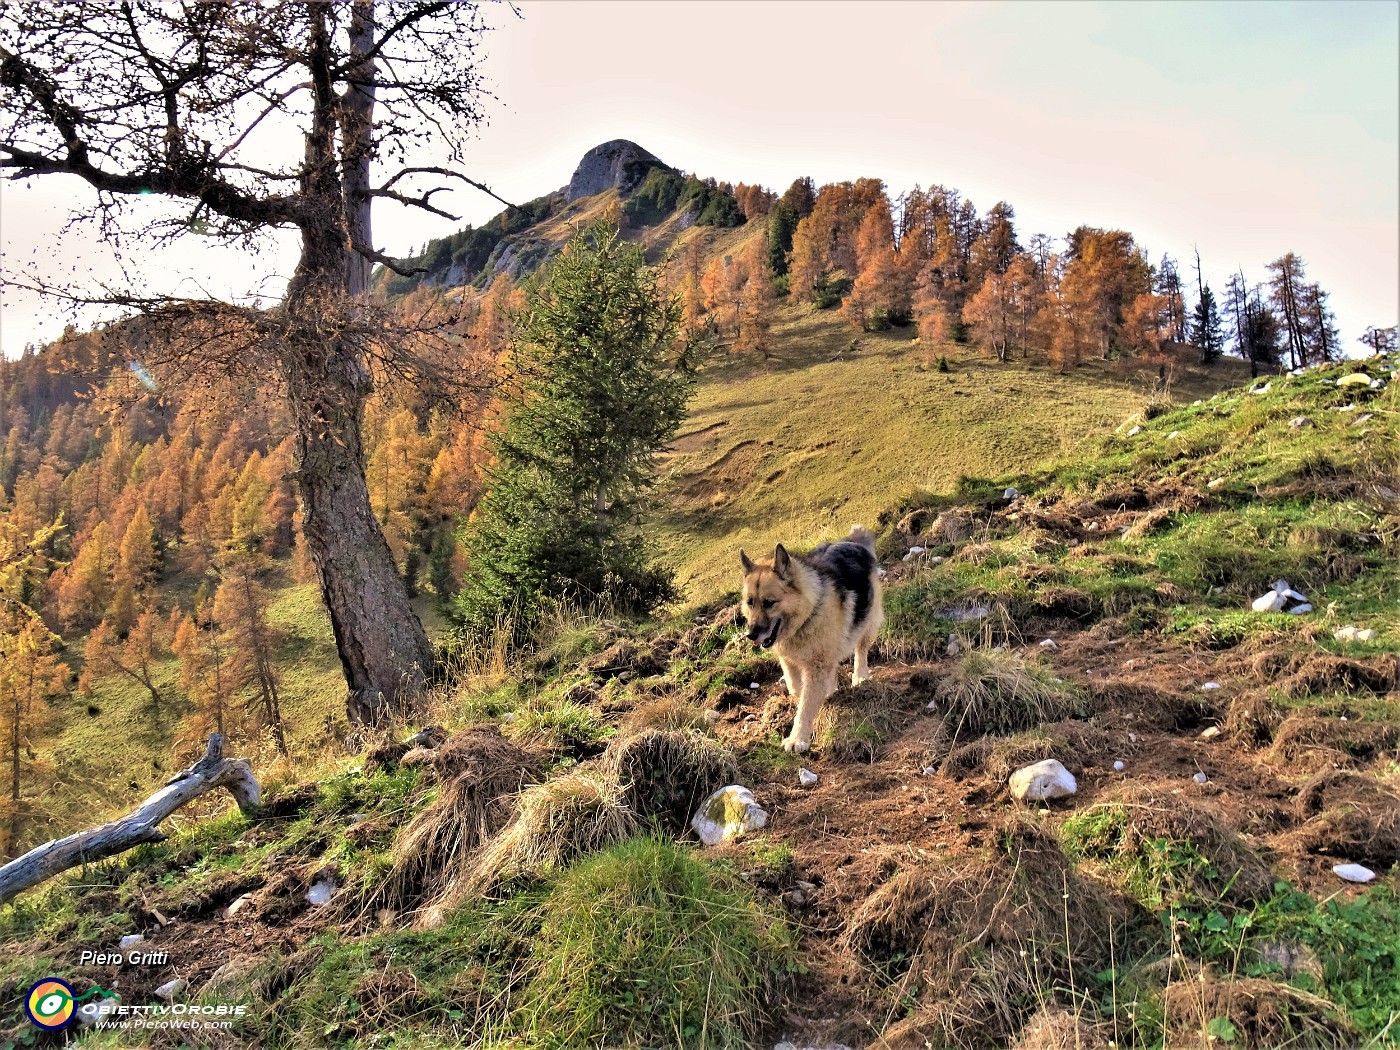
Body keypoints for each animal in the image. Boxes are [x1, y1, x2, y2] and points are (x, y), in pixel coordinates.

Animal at [739, 529, 879, 750]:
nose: (750, 635)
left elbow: (806, 705)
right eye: (750, 603)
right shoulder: (789, 661)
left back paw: (860, 675)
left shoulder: (817, 666)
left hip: (867, 621)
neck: (807, 614)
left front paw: (798, 739)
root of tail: (852, 541)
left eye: (769, 603)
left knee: (861, 649)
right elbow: (797, 688)